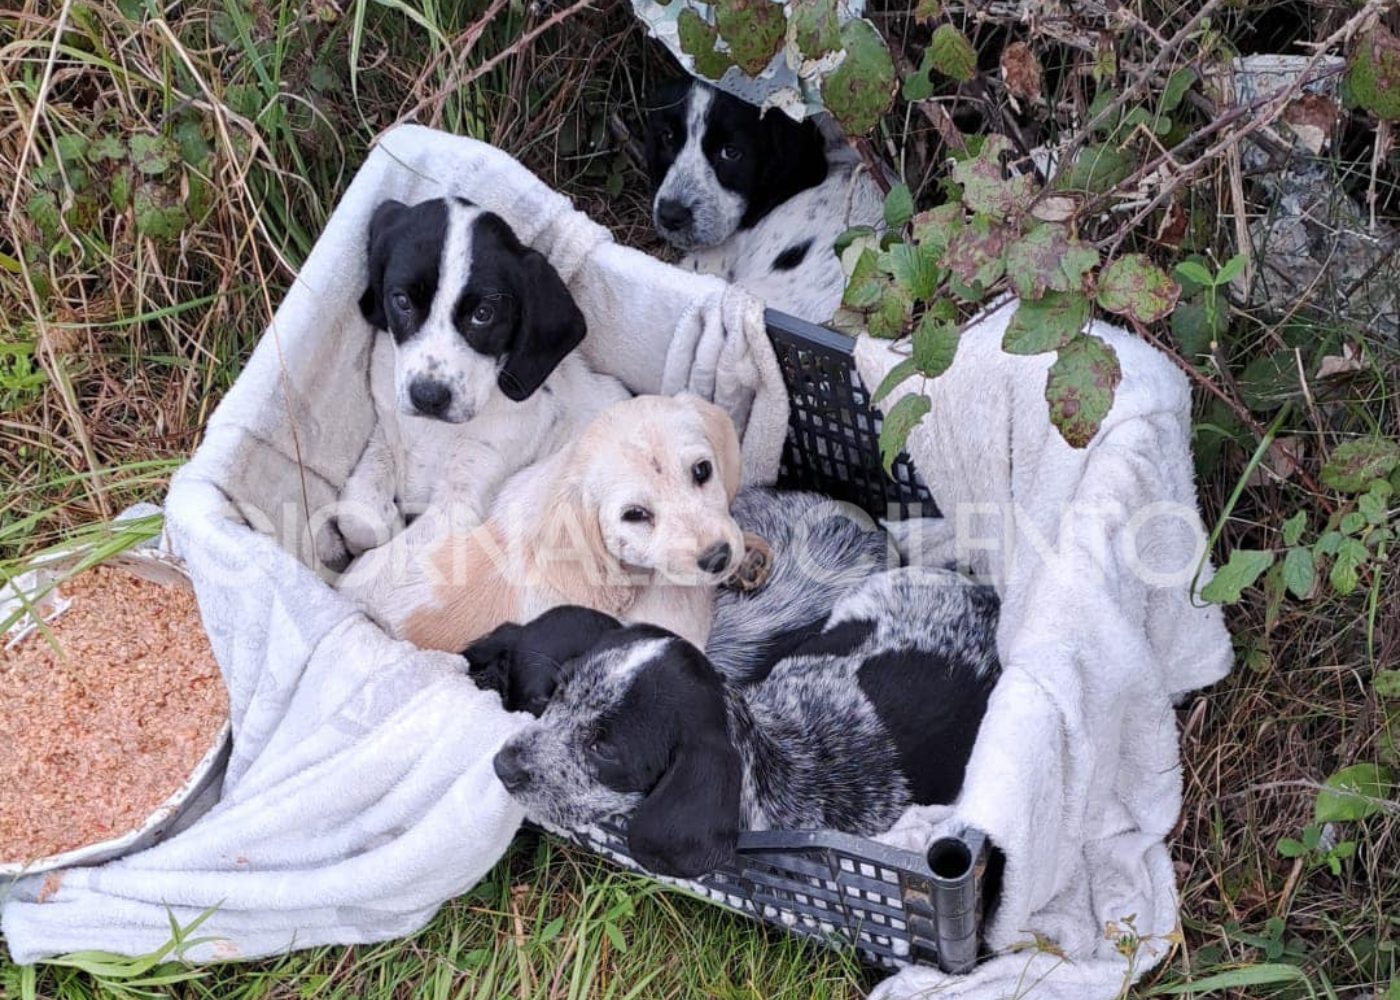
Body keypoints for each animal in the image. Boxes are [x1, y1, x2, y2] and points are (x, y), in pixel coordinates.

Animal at [336, 194, 627, 551]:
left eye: (483, 314)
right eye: (401, 301)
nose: (428, 397)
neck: (434, 431)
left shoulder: (461, 502)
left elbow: (391, 557)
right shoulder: (388, 426)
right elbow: (357, 511)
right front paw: (379, 524)